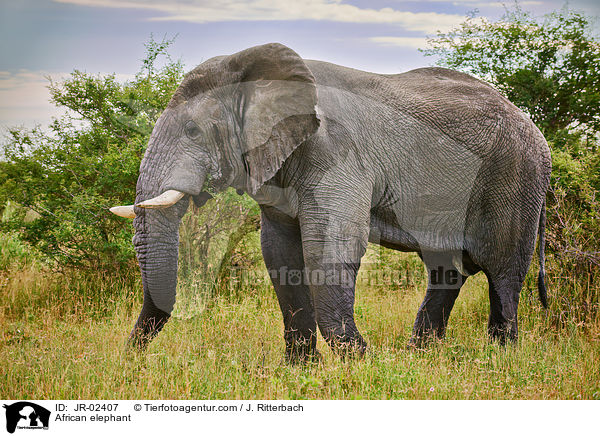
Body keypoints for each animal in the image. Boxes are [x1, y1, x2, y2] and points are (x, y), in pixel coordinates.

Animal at [110, 41, 552, 362]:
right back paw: (421, 357)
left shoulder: (336, 152)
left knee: (503, 271)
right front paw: (302, 369)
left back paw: (500, 359)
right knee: (447, 270)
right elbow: (280, 253)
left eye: (192, 130)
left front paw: (359, 362)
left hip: (515, 175)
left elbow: (330, 246)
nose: (132, 357)